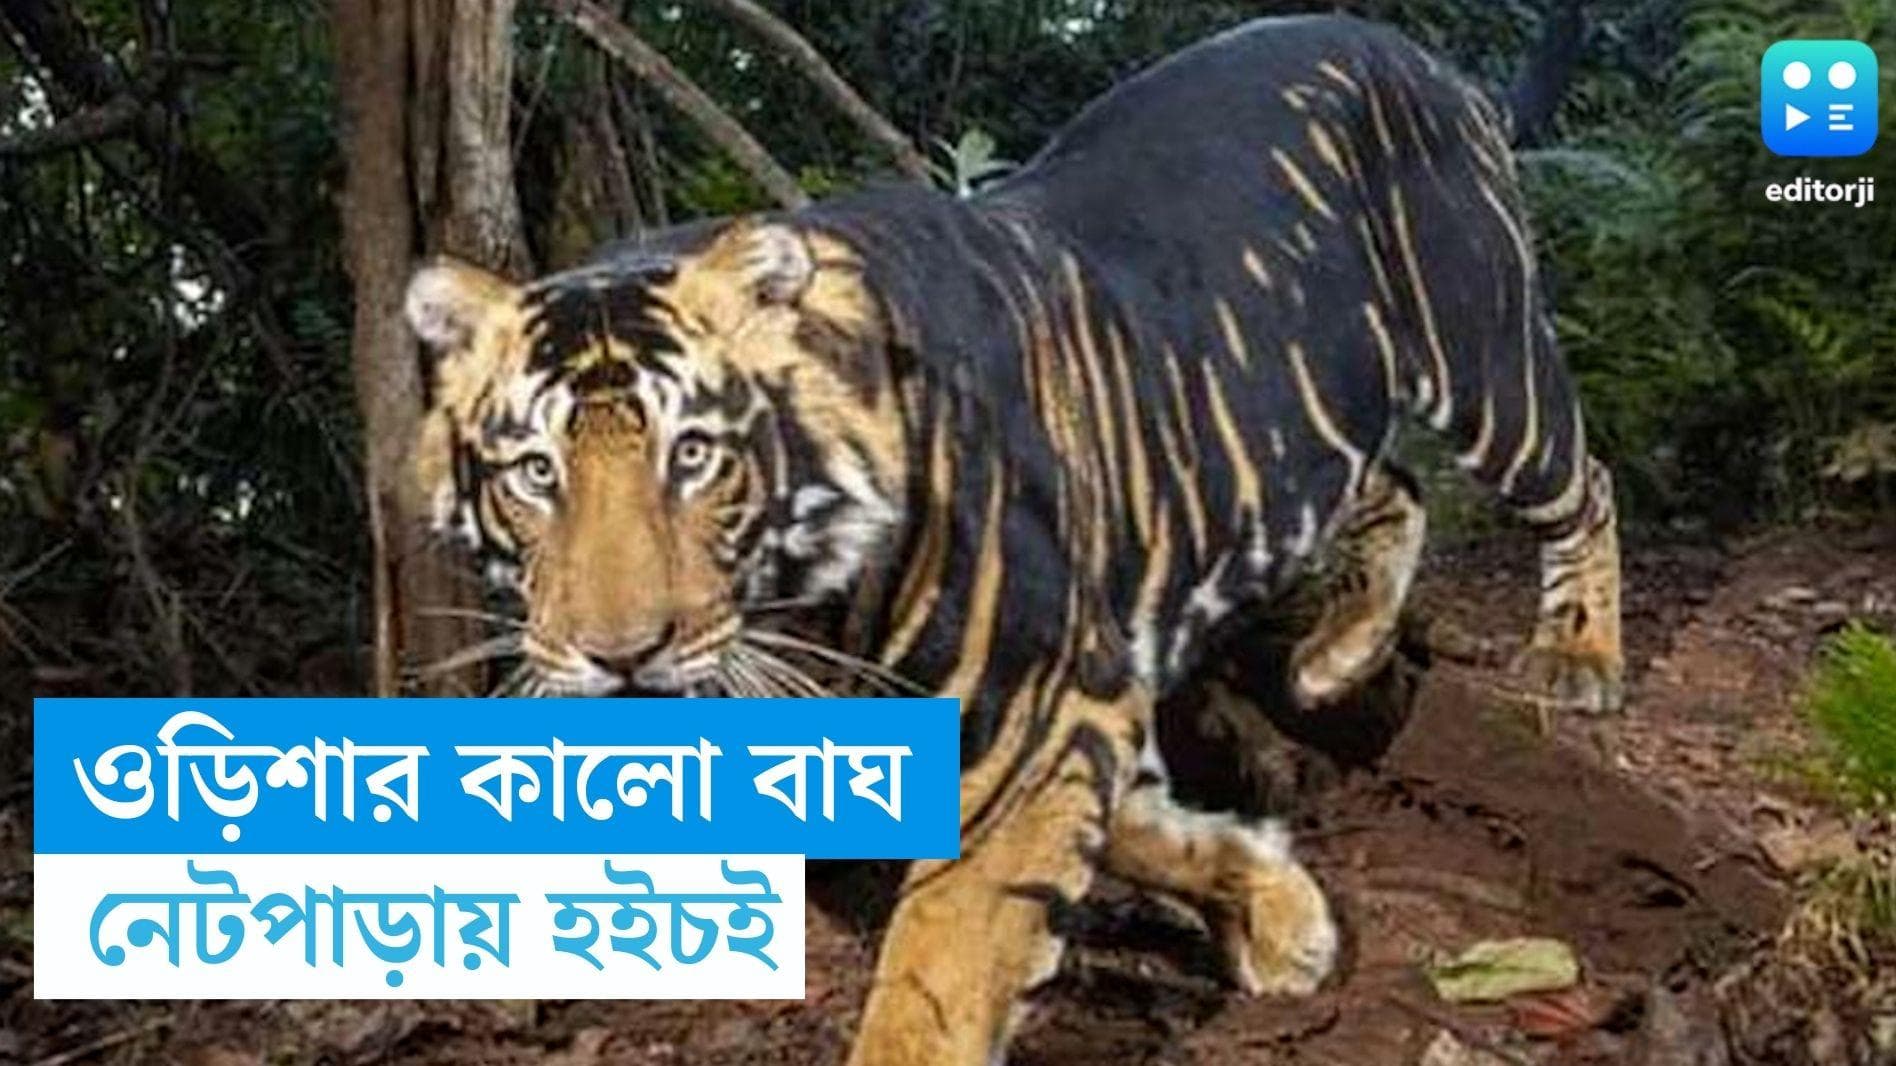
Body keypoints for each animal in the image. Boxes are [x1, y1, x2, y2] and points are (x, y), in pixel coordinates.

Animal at [402, 13, 1622, 1064]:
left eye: (695, 455)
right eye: (536, 473)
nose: (621, 656)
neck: (805, 611)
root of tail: (1420, 56)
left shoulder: (1037, 705)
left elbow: (941, 977)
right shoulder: (1073, 702)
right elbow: (1140, 826)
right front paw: (1281, 912)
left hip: (1486, 354)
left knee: (1584, 481)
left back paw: (1579, 655)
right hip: (1311, 405)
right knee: (1393, 482)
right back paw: (1336, 655)